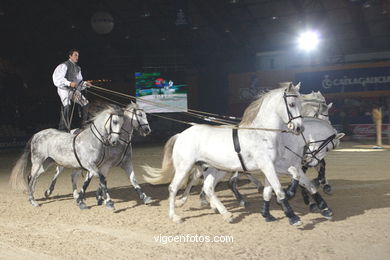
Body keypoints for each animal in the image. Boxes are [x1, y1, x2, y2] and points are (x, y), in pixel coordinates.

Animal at [142, 84, 304, 225]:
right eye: (291, 104)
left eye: (300, 103)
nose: (299, 128)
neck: (262, 133)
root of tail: (181, 135)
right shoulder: (266, 165)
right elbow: (278, 190)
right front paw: (293, 217)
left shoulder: (272, 166)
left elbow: (283, 180)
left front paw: (270, 213)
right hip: (185, 167)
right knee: (173, 188)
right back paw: (175, 216)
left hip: (212, 168)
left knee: (207, 187)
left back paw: (226, 214)